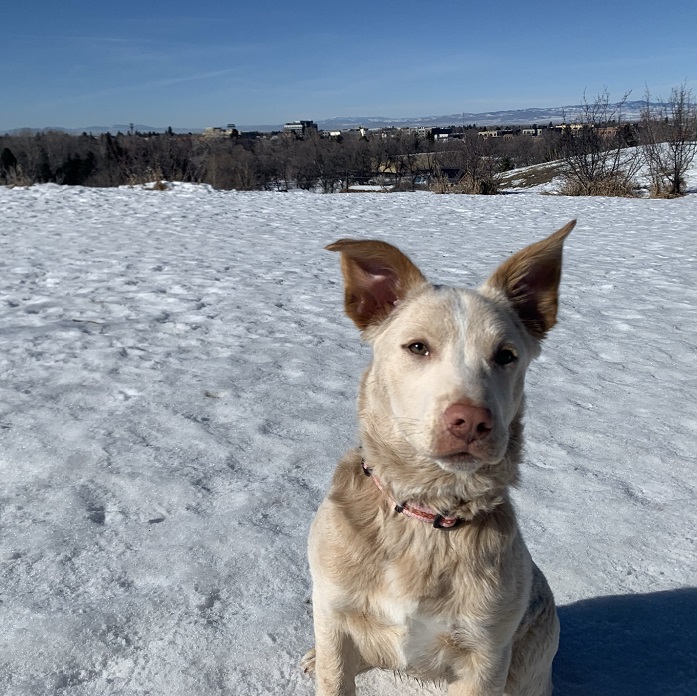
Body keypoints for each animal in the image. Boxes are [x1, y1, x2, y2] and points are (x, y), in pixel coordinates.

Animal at [302, 223, 572, 696]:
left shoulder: (485, 656)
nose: (472, 421)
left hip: (531, 657)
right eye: (417, 347)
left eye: (506, 355)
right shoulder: (333, 613)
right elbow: (334, 673)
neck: (426, 516)